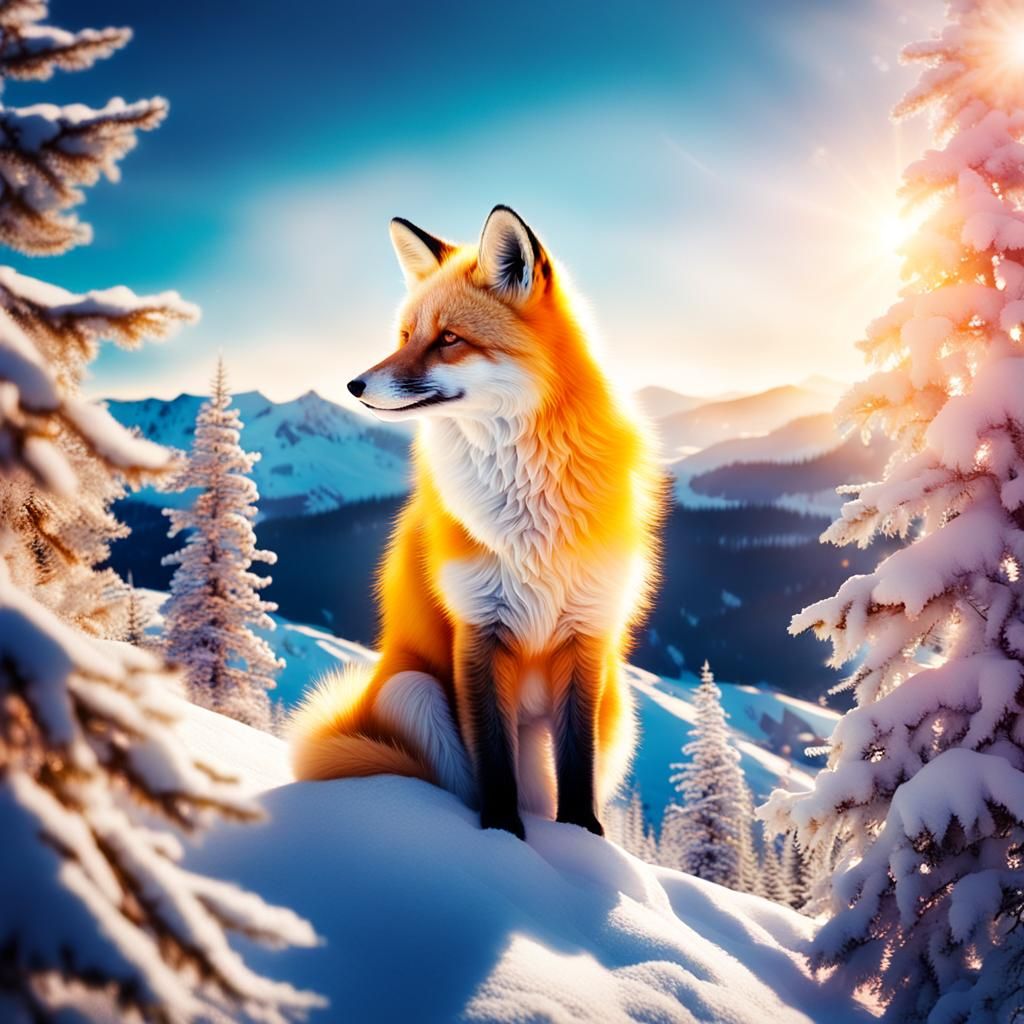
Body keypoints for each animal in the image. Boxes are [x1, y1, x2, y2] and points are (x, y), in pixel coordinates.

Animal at [288, 205, 662, 839]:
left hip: (620, 707)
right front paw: (504, 838)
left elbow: (577, 765)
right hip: (412, 690)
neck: (529, 513)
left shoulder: (586, 632)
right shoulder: (479, 628)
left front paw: (582, 838)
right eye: (406, 336)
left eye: (448, 340)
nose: (354, 386)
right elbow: (492, 761)